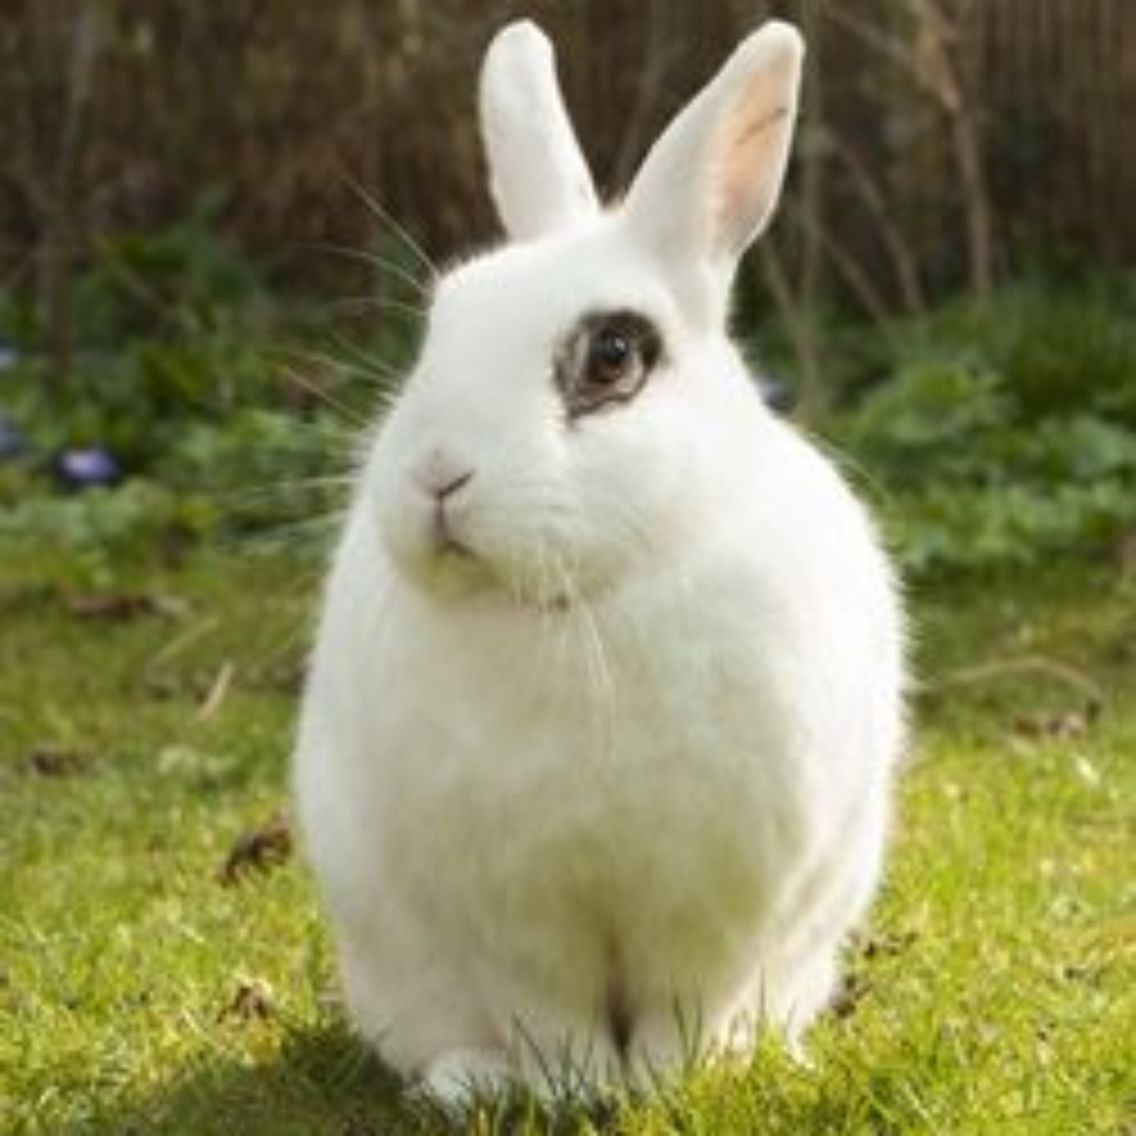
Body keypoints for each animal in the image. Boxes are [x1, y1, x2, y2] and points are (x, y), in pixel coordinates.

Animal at [294, 17, 905, 1105]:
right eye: (439, 326)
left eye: (612, 355)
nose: (437, 473)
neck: (582, 603)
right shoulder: (514, 916)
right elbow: (549, 1013)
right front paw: (573, 1089)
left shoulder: (711, 905)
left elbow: (683, 1003)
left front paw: (671, 1082)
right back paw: (466, 1083)